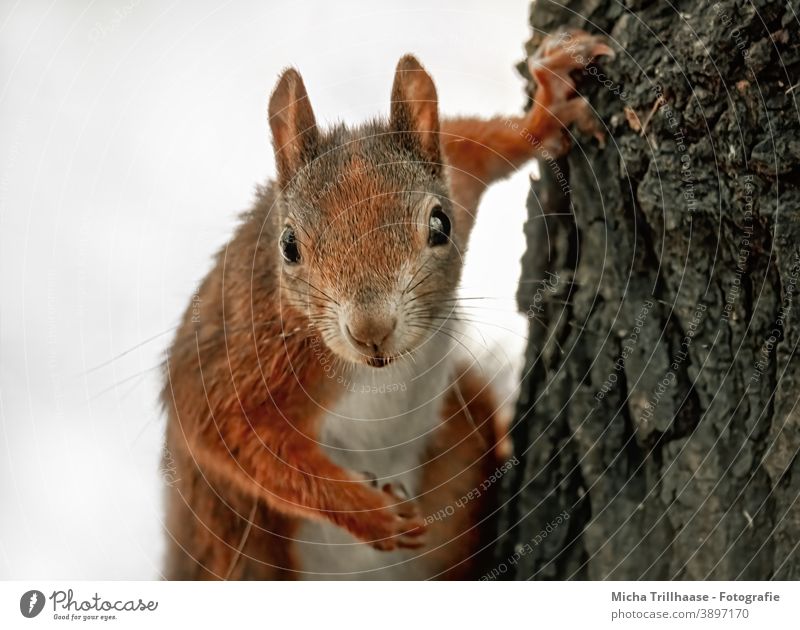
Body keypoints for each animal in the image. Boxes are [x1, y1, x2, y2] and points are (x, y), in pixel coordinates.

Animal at [162, 32, 612, 580]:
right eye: (288, 245)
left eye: (440, 225)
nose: (371, 331)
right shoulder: (245, 355)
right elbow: (230, 435)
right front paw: (370, 514)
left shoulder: (457, 173)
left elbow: (480, 141)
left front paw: (551, 107)